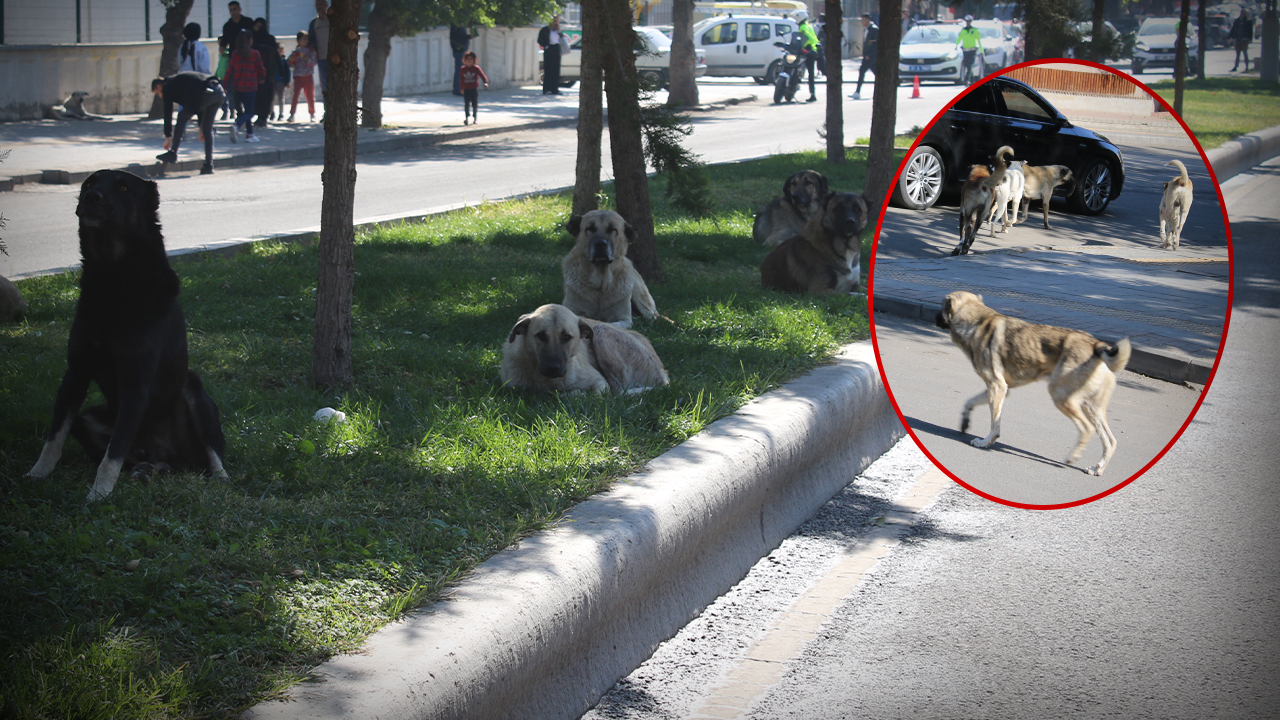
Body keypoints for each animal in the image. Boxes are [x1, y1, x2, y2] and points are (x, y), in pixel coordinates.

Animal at [936, 288, 1136, 474]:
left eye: (941, 306)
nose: (935, 318)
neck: (977, 321)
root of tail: (1095, 344)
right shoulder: (999, 390)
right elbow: (969, 402)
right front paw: (965, 421)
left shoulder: (997, 387)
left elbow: (994, 424)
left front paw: (986, 442)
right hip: (1092, 407)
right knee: (1110, 441)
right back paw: (1098, 468)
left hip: (1061, 396)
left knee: (1086, 429)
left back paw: (1073, 456)